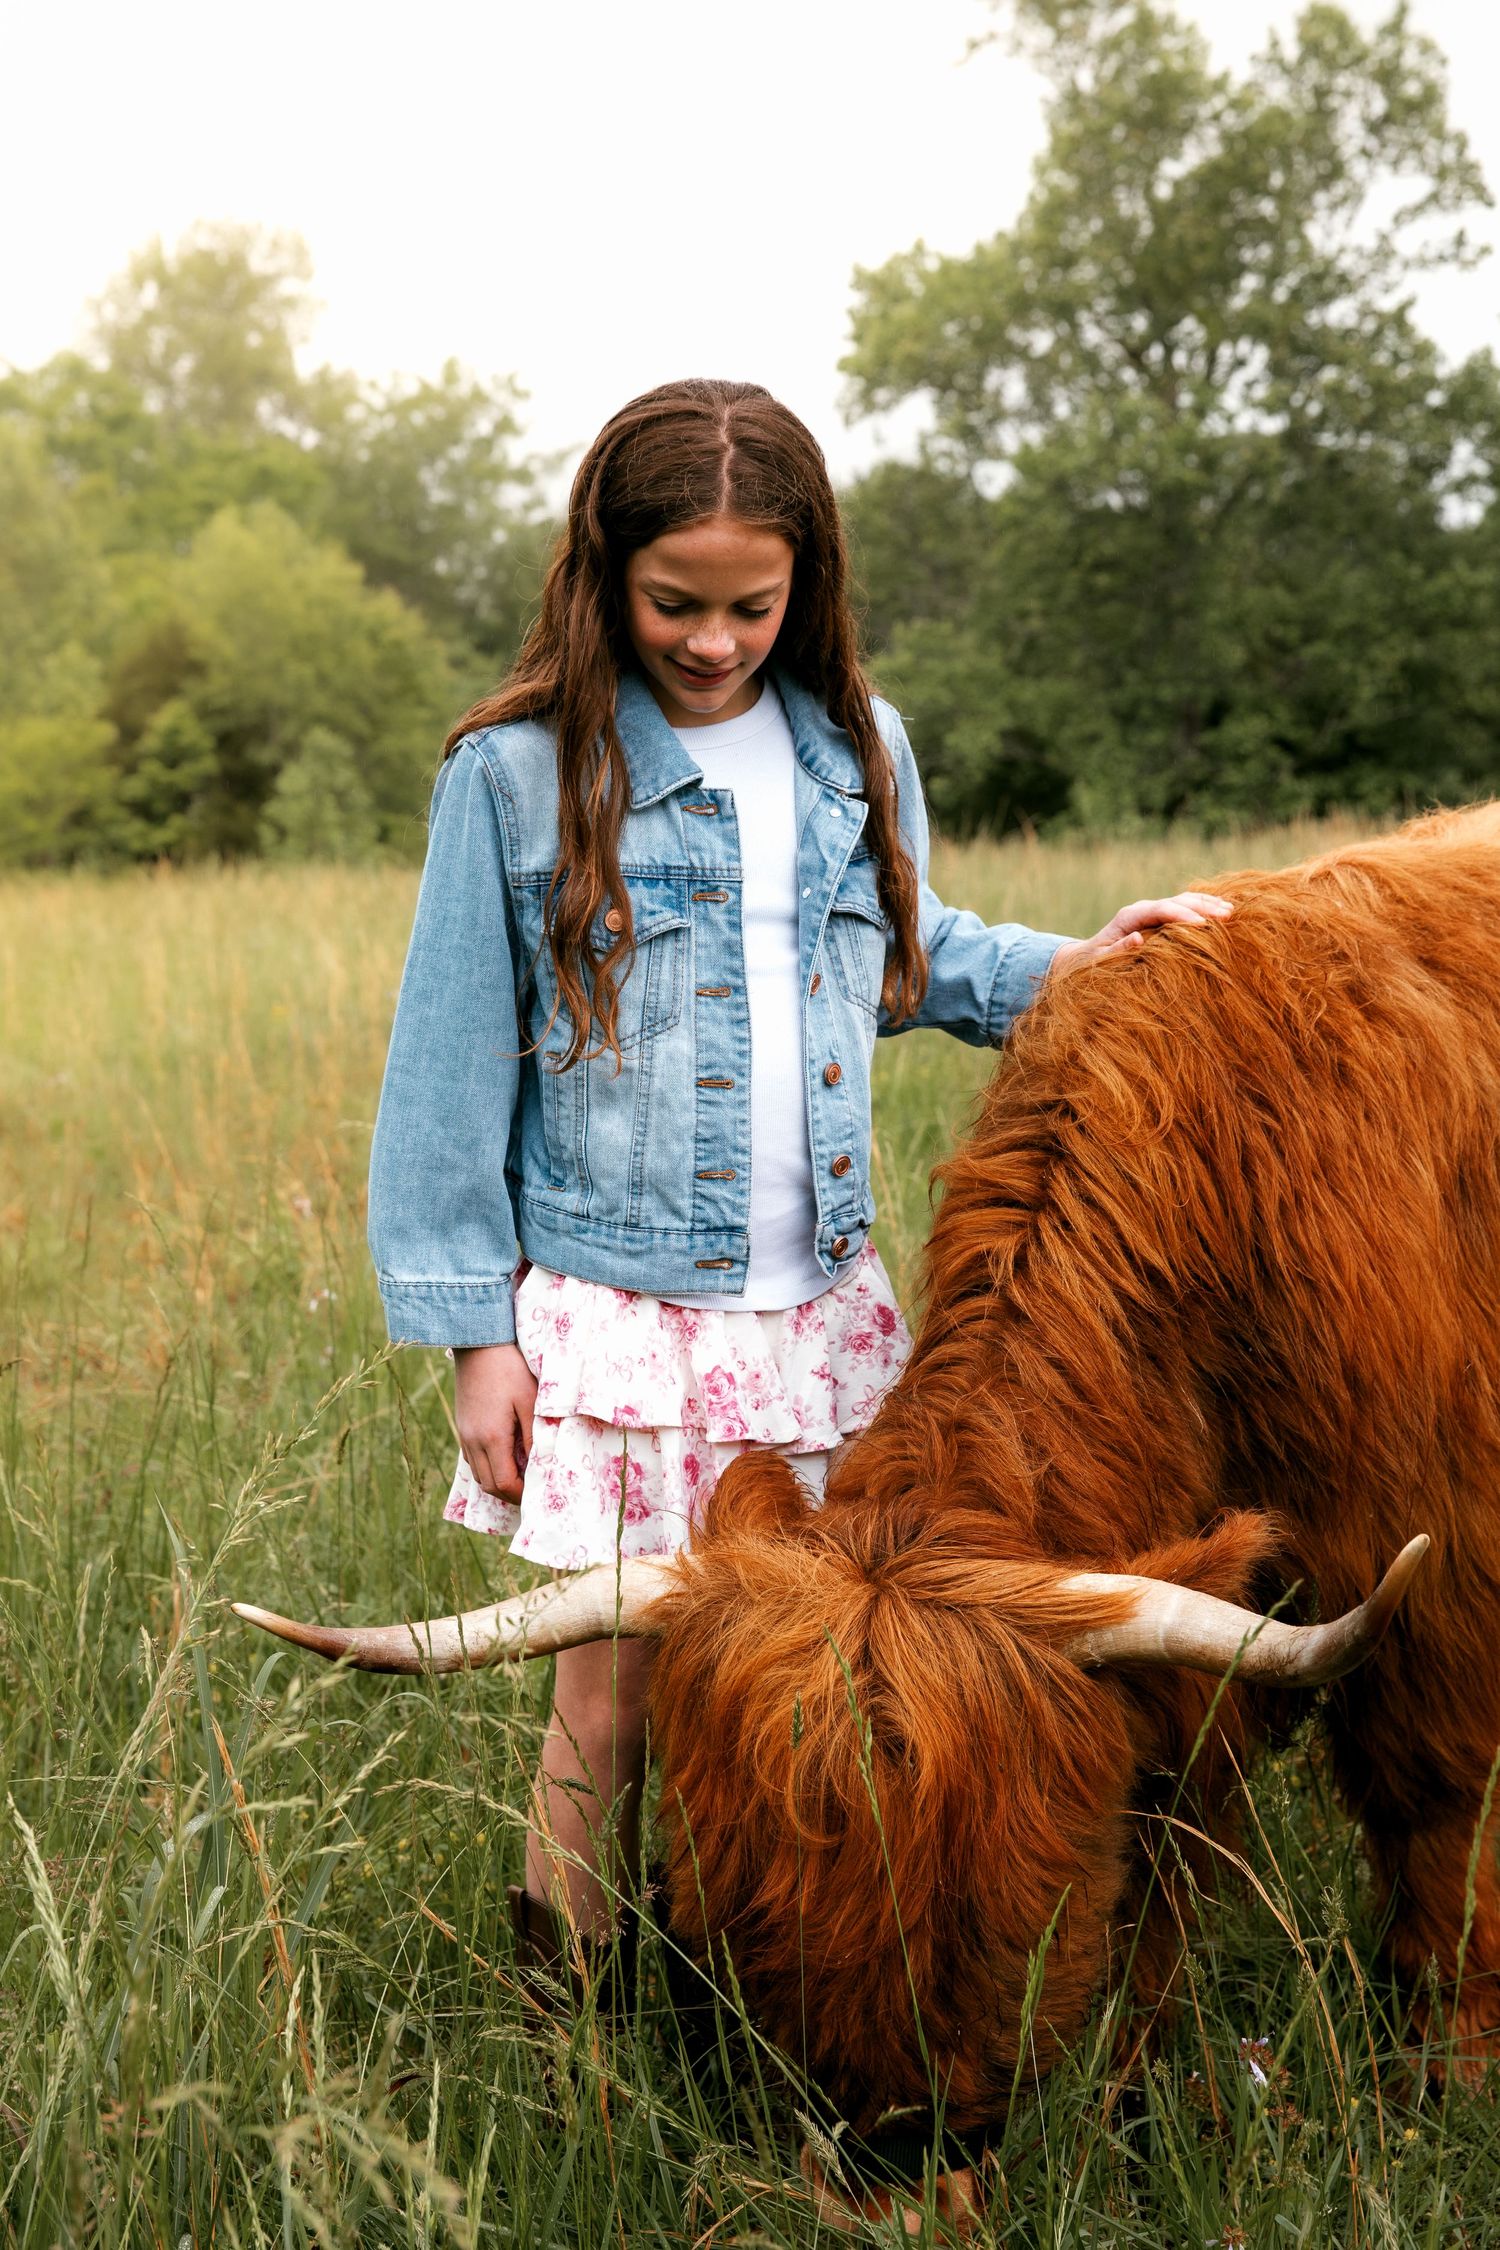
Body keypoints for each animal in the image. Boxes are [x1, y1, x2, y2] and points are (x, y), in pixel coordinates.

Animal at [235, 804, 1500, 2163]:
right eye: (738, 1903)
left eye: (1001, 1906)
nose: (891, 2150)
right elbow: (1169, 1844)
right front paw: (1143, 2092)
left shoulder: (1434, 1586)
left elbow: (1432, 1810)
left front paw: (1447, 2070)